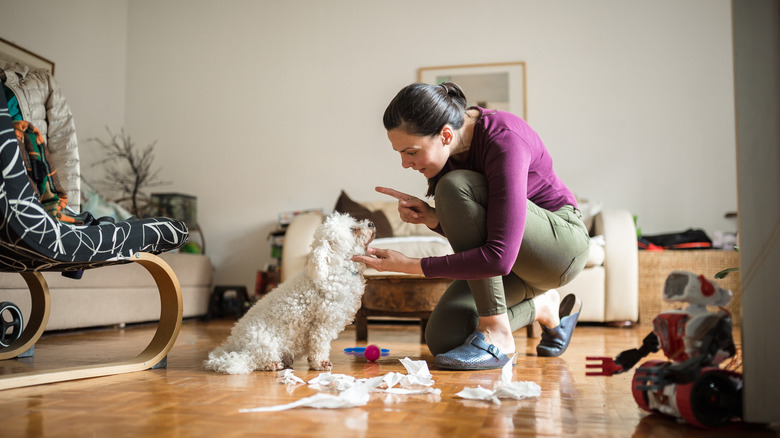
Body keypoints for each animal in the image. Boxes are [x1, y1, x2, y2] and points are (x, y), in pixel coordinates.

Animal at [204, 212, 374, 372]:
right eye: (353, 229)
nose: (371, 223)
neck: (336, 270)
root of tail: (233, 343)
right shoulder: (322, 324)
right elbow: (320, 346)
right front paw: (320, 363)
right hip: (264, 343)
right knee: (252, 360)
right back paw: (271, 364)